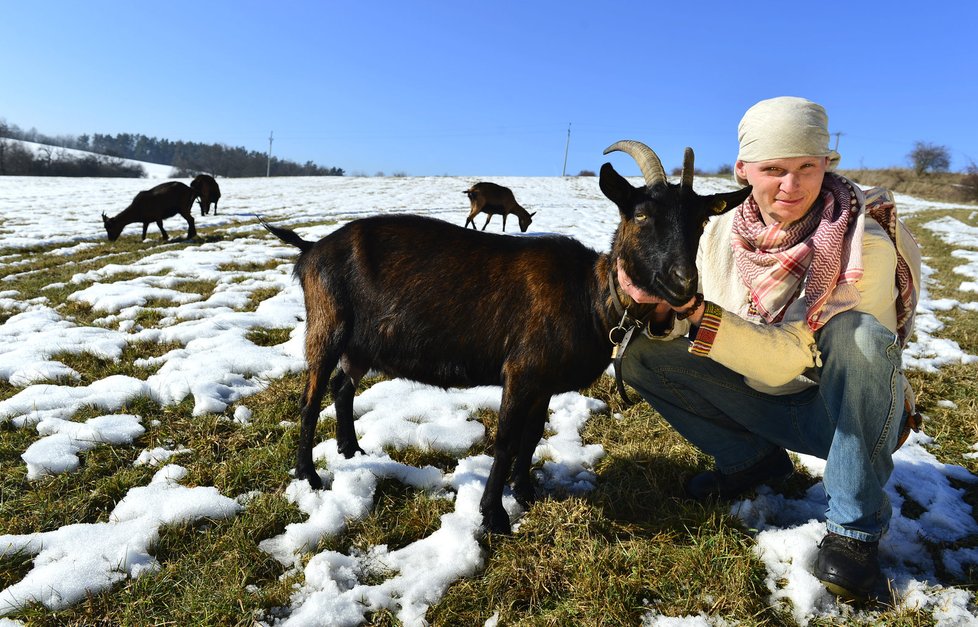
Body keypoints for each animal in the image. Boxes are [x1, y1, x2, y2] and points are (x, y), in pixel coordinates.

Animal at [258, 142, 748, 536]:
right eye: (641, 214)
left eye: (702, 222)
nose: (684, 284)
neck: (589, 296)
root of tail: (310, 249)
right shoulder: (522, 370)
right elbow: (508, 439)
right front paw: (494, 517)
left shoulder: (544, 382)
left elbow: (531, 437)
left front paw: (526, 491)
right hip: (327, 326)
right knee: (310, 397)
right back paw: (309, 476)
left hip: (363, 344)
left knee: (342, 387)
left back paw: (351, 449)